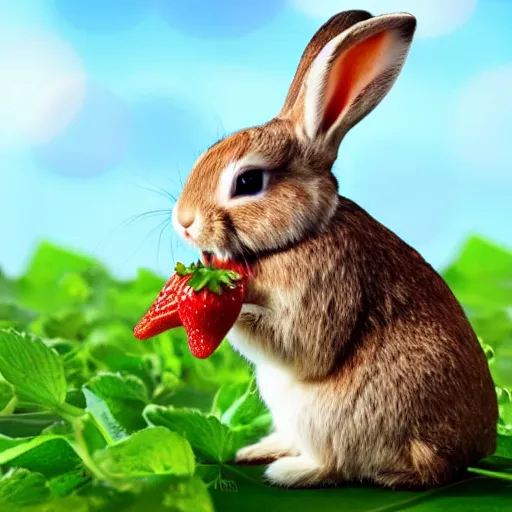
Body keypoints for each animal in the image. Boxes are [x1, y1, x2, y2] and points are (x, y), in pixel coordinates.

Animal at [171, 8, 496, 488]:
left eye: (248, 182)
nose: (184, 222)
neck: (302, 233)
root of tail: (455, 458)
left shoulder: (325, 290)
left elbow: (299, 343)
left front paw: (221, 299)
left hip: (331, 417)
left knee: (336, 463)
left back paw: (287, 472)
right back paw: (259, 450)